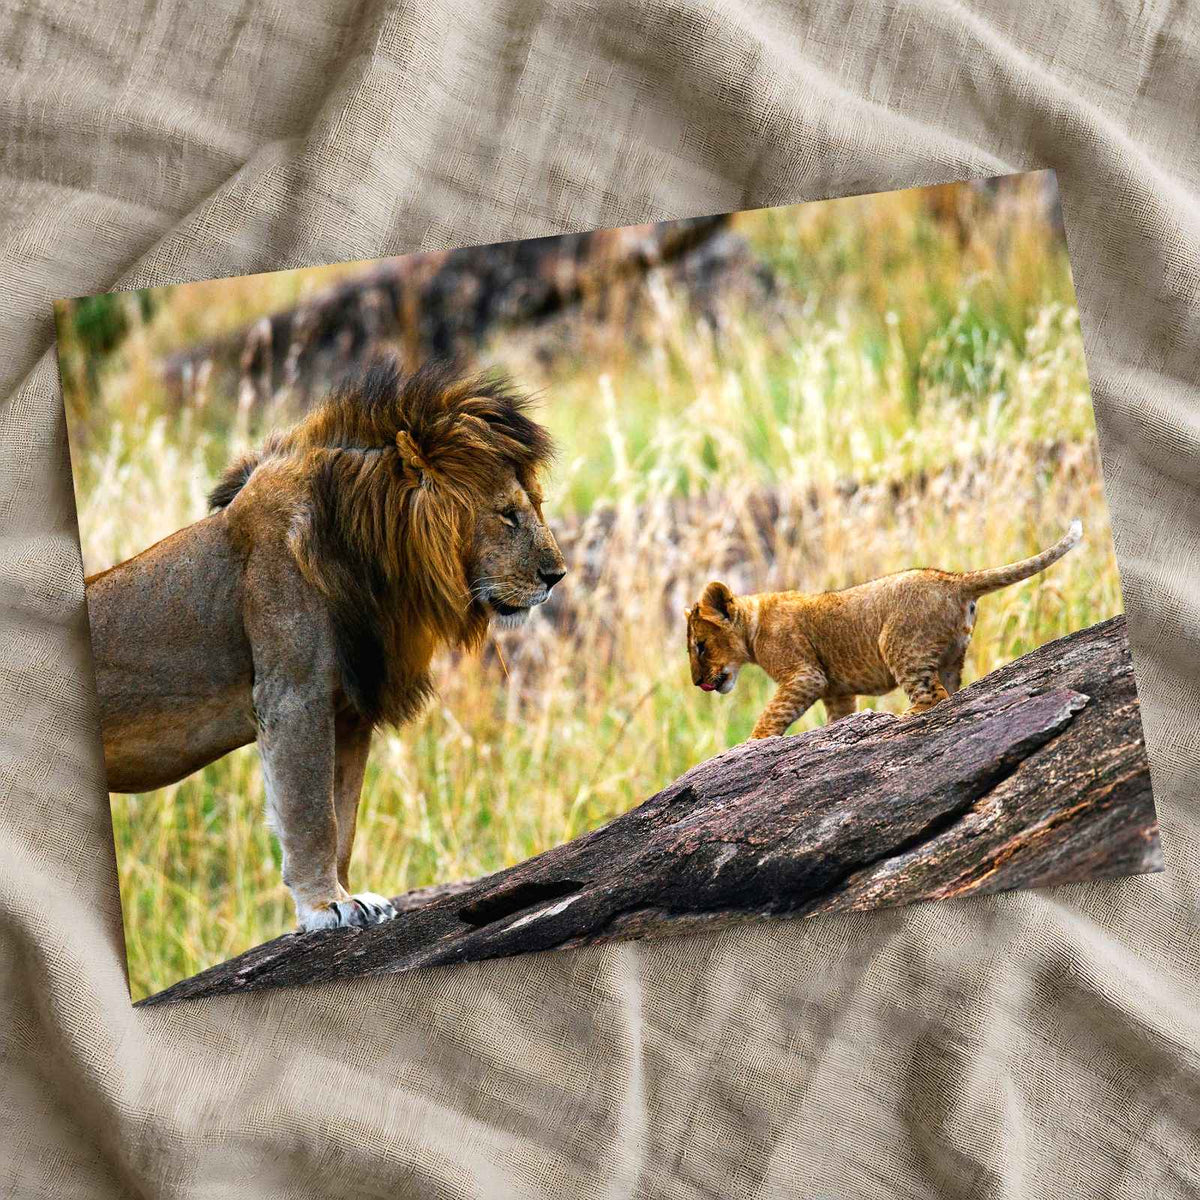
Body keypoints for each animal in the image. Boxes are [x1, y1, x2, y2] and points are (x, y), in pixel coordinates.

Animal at [85, 358, 565, 932]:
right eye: (508, 514)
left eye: (536, 506)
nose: (558, 575)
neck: (374, 559)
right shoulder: (293, 696)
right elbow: (312, 813)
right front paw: (324, 905)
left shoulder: (350, 710)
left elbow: (342, 818)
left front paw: (352, 899)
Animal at [686, 520, 1082, 739]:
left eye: (701, 646)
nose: (696, 683)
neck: (753, 626)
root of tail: (953, 579)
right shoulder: (836, 692)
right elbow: (837, 716)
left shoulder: (805, 674)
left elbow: (773, 712)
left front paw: (753, 741)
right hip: (951, 654)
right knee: (949, 690)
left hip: (897, 642)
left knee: (932, 696)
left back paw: (902, 718)